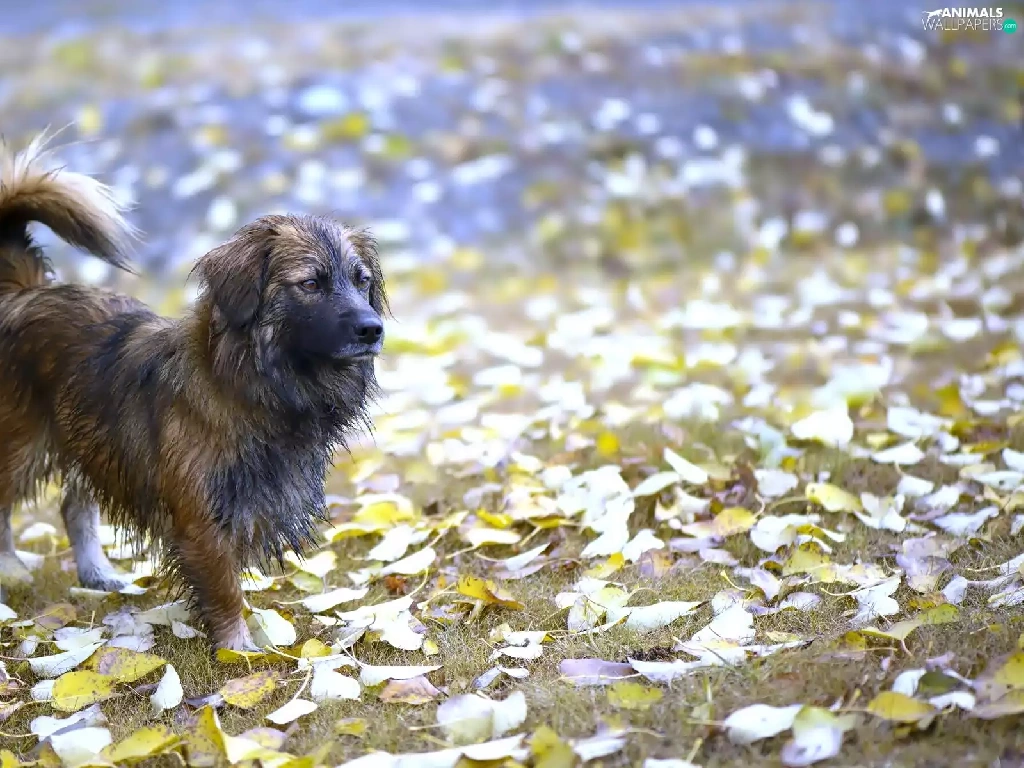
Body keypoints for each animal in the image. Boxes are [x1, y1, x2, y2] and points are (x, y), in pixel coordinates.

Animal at [0, 134, 387, 650]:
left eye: (363, 282)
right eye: (310, 283)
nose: (373, 329)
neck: (254, 387)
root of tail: (24, 292)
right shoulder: (201, 518)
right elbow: (223, 589)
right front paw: (238, 652)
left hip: (89, 436)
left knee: (73, 505)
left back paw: (97, 573)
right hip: (22, 445)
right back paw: (9, 572)